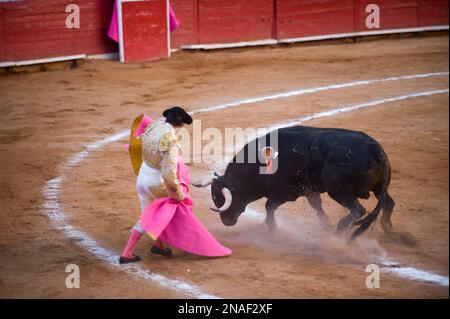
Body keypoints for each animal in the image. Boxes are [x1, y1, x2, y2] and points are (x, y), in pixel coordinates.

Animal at [193, 126, 394, 241]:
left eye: (223, 199)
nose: (226, 221)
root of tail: (374, 148)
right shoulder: (309, 189)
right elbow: (316, 205)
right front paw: (325, 224)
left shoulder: (285, 193)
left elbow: (269, 208)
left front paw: (273, 230)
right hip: (378, 189)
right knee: (389, 203)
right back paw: (389, 230)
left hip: (338, 190)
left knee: (358, 210)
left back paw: (339, 231)